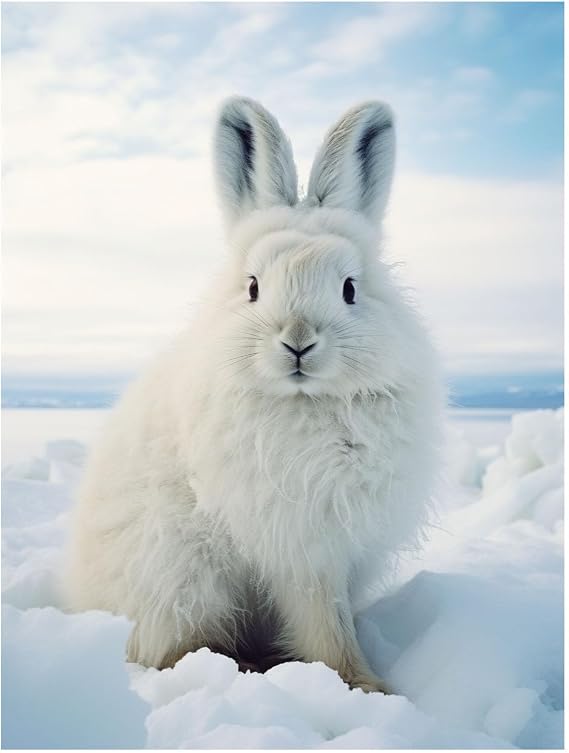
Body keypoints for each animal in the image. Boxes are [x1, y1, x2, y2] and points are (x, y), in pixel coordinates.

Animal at [65, 96, 444, 693]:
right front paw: (366, 685)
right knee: (169, 648)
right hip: (180, 580)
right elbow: (326, 624)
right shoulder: (302, 551)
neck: (305, 403)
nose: (298, 342)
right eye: (253, 288)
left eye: (349, 289)